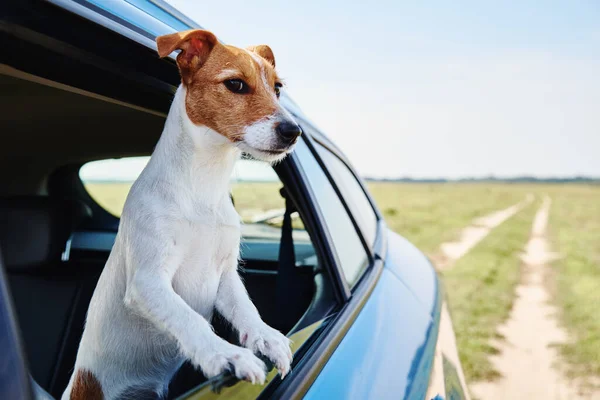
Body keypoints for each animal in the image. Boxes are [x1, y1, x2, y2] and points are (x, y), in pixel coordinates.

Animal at [62, 28, 300, 400]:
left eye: (277, 88)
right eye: (235, 84)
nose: (294, 132)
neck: (203, 185)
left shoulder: (225, 276)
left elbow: (246, 309)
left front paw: (266, 336)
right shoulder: (148, 282)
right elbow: (190, 319)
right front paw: (225, 354)